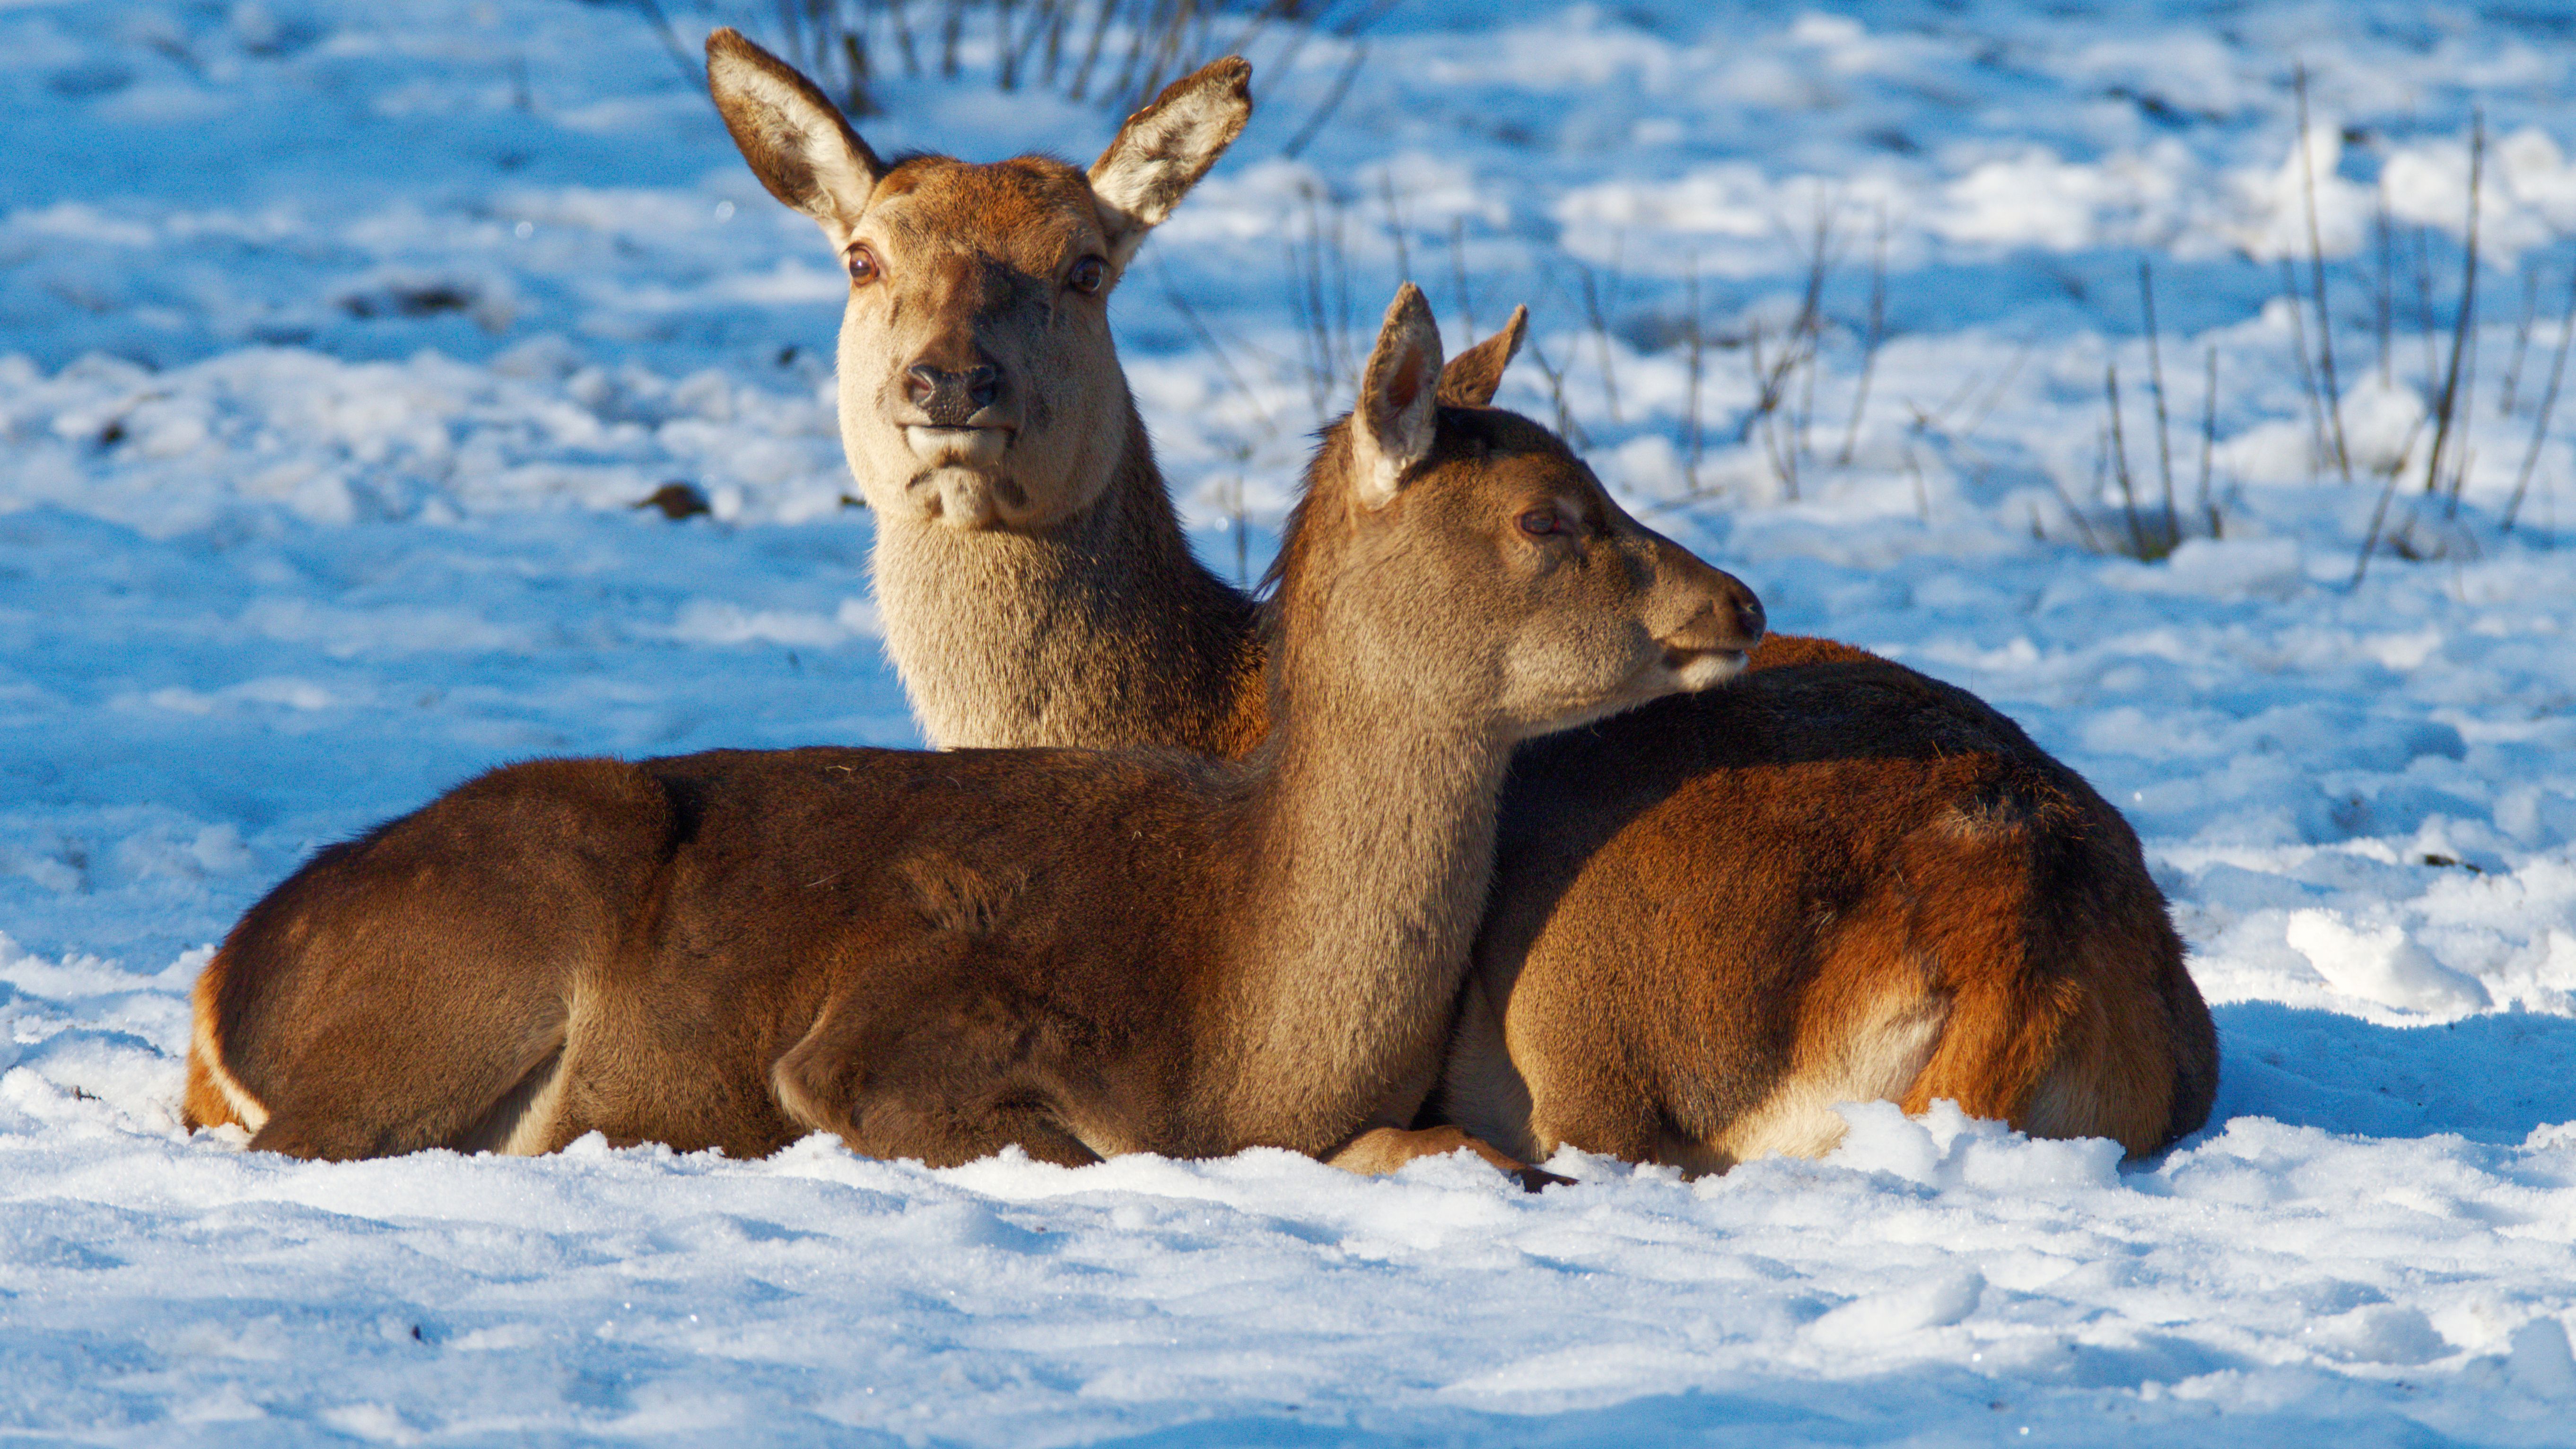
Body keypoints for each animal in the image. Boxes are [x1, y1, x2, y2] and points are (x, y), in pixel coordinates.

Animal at [179, 284, 1767, 1181]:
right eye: (1550, 517)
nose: (1740, 601)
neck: (1246, 1012)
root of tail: (221, 985)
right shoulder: (892, 1030)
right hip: (451, 985)